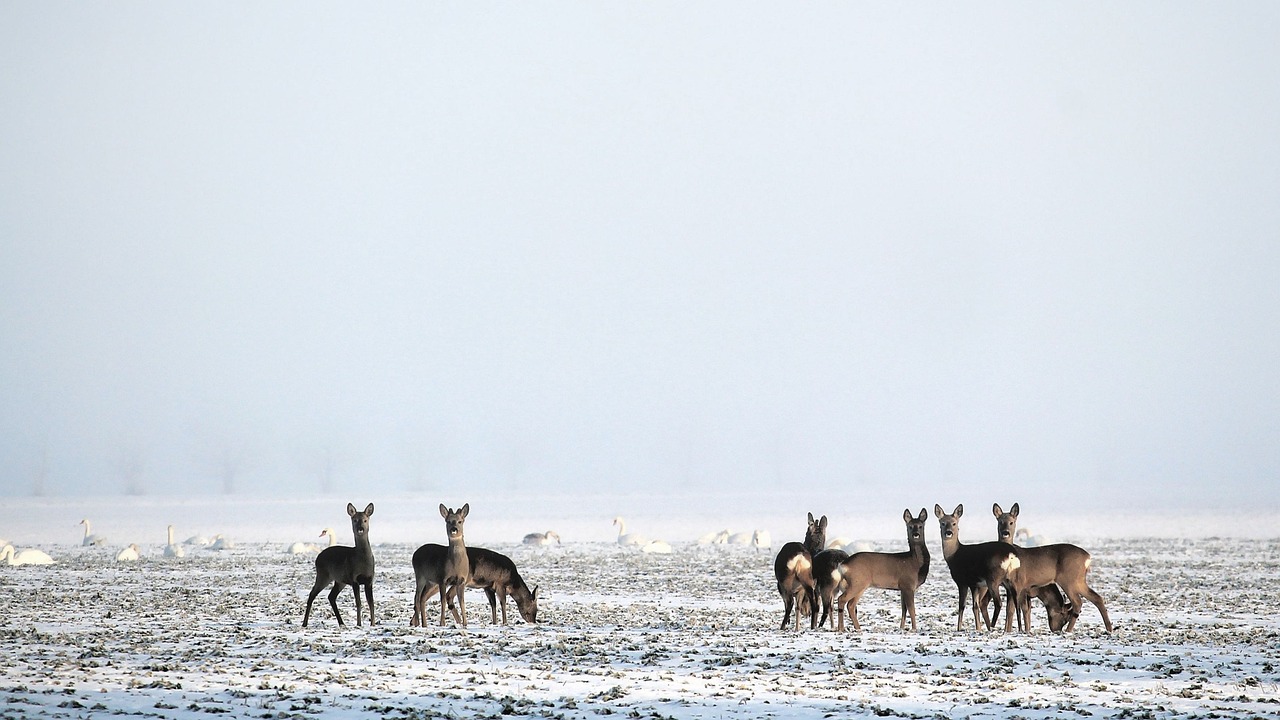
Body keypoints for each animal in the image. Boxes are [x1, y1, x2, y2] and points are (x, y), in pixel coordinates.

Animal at [931, 502, 1018, 630]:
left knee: (998, 603)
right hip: (1010, 579)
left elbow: (962, 606)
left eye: (954, 523)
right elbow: (974, 606)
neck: (954, 556)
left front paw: (959, 628)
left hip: (993, 579)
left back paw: (992, 626)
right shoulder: (976, 584)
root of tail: (1010, 554)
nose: (948, 532)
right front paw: (978, 628)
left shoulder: (963, 582)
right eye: (942, 523)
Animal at [988, 499, 1111, 627]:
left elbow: (1015, 610)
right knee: (1097, 598)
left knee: (1078, 602)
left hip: (1068, 579)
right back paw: (1109, 628)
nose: (1005, 532)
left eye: (1011, 522)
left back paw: (1069, 630)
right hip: (1079, 580)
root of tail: (1088, 557)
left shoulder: (1020, 585)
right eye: (1000, 522)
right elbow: (1013, 610)